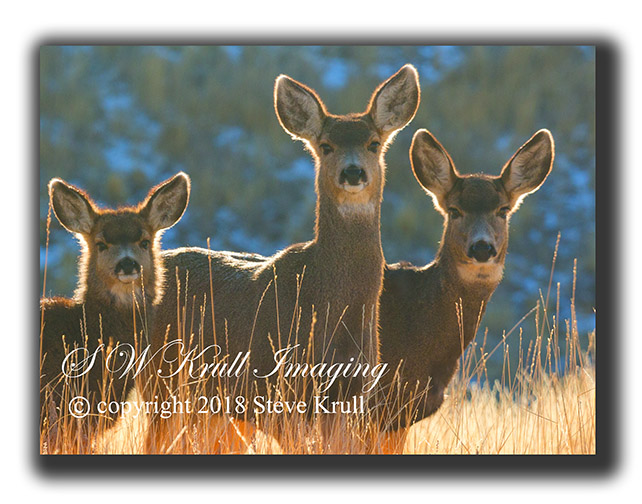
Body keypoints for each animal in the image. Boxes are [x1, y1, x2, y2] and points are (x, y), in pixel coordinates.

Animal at [145, 65, 420, 453]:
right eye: (326, 145)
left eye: (373, 143)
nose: (353, 172)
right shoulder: (281, 394)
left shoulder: (350, 397)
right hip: (163, 381)